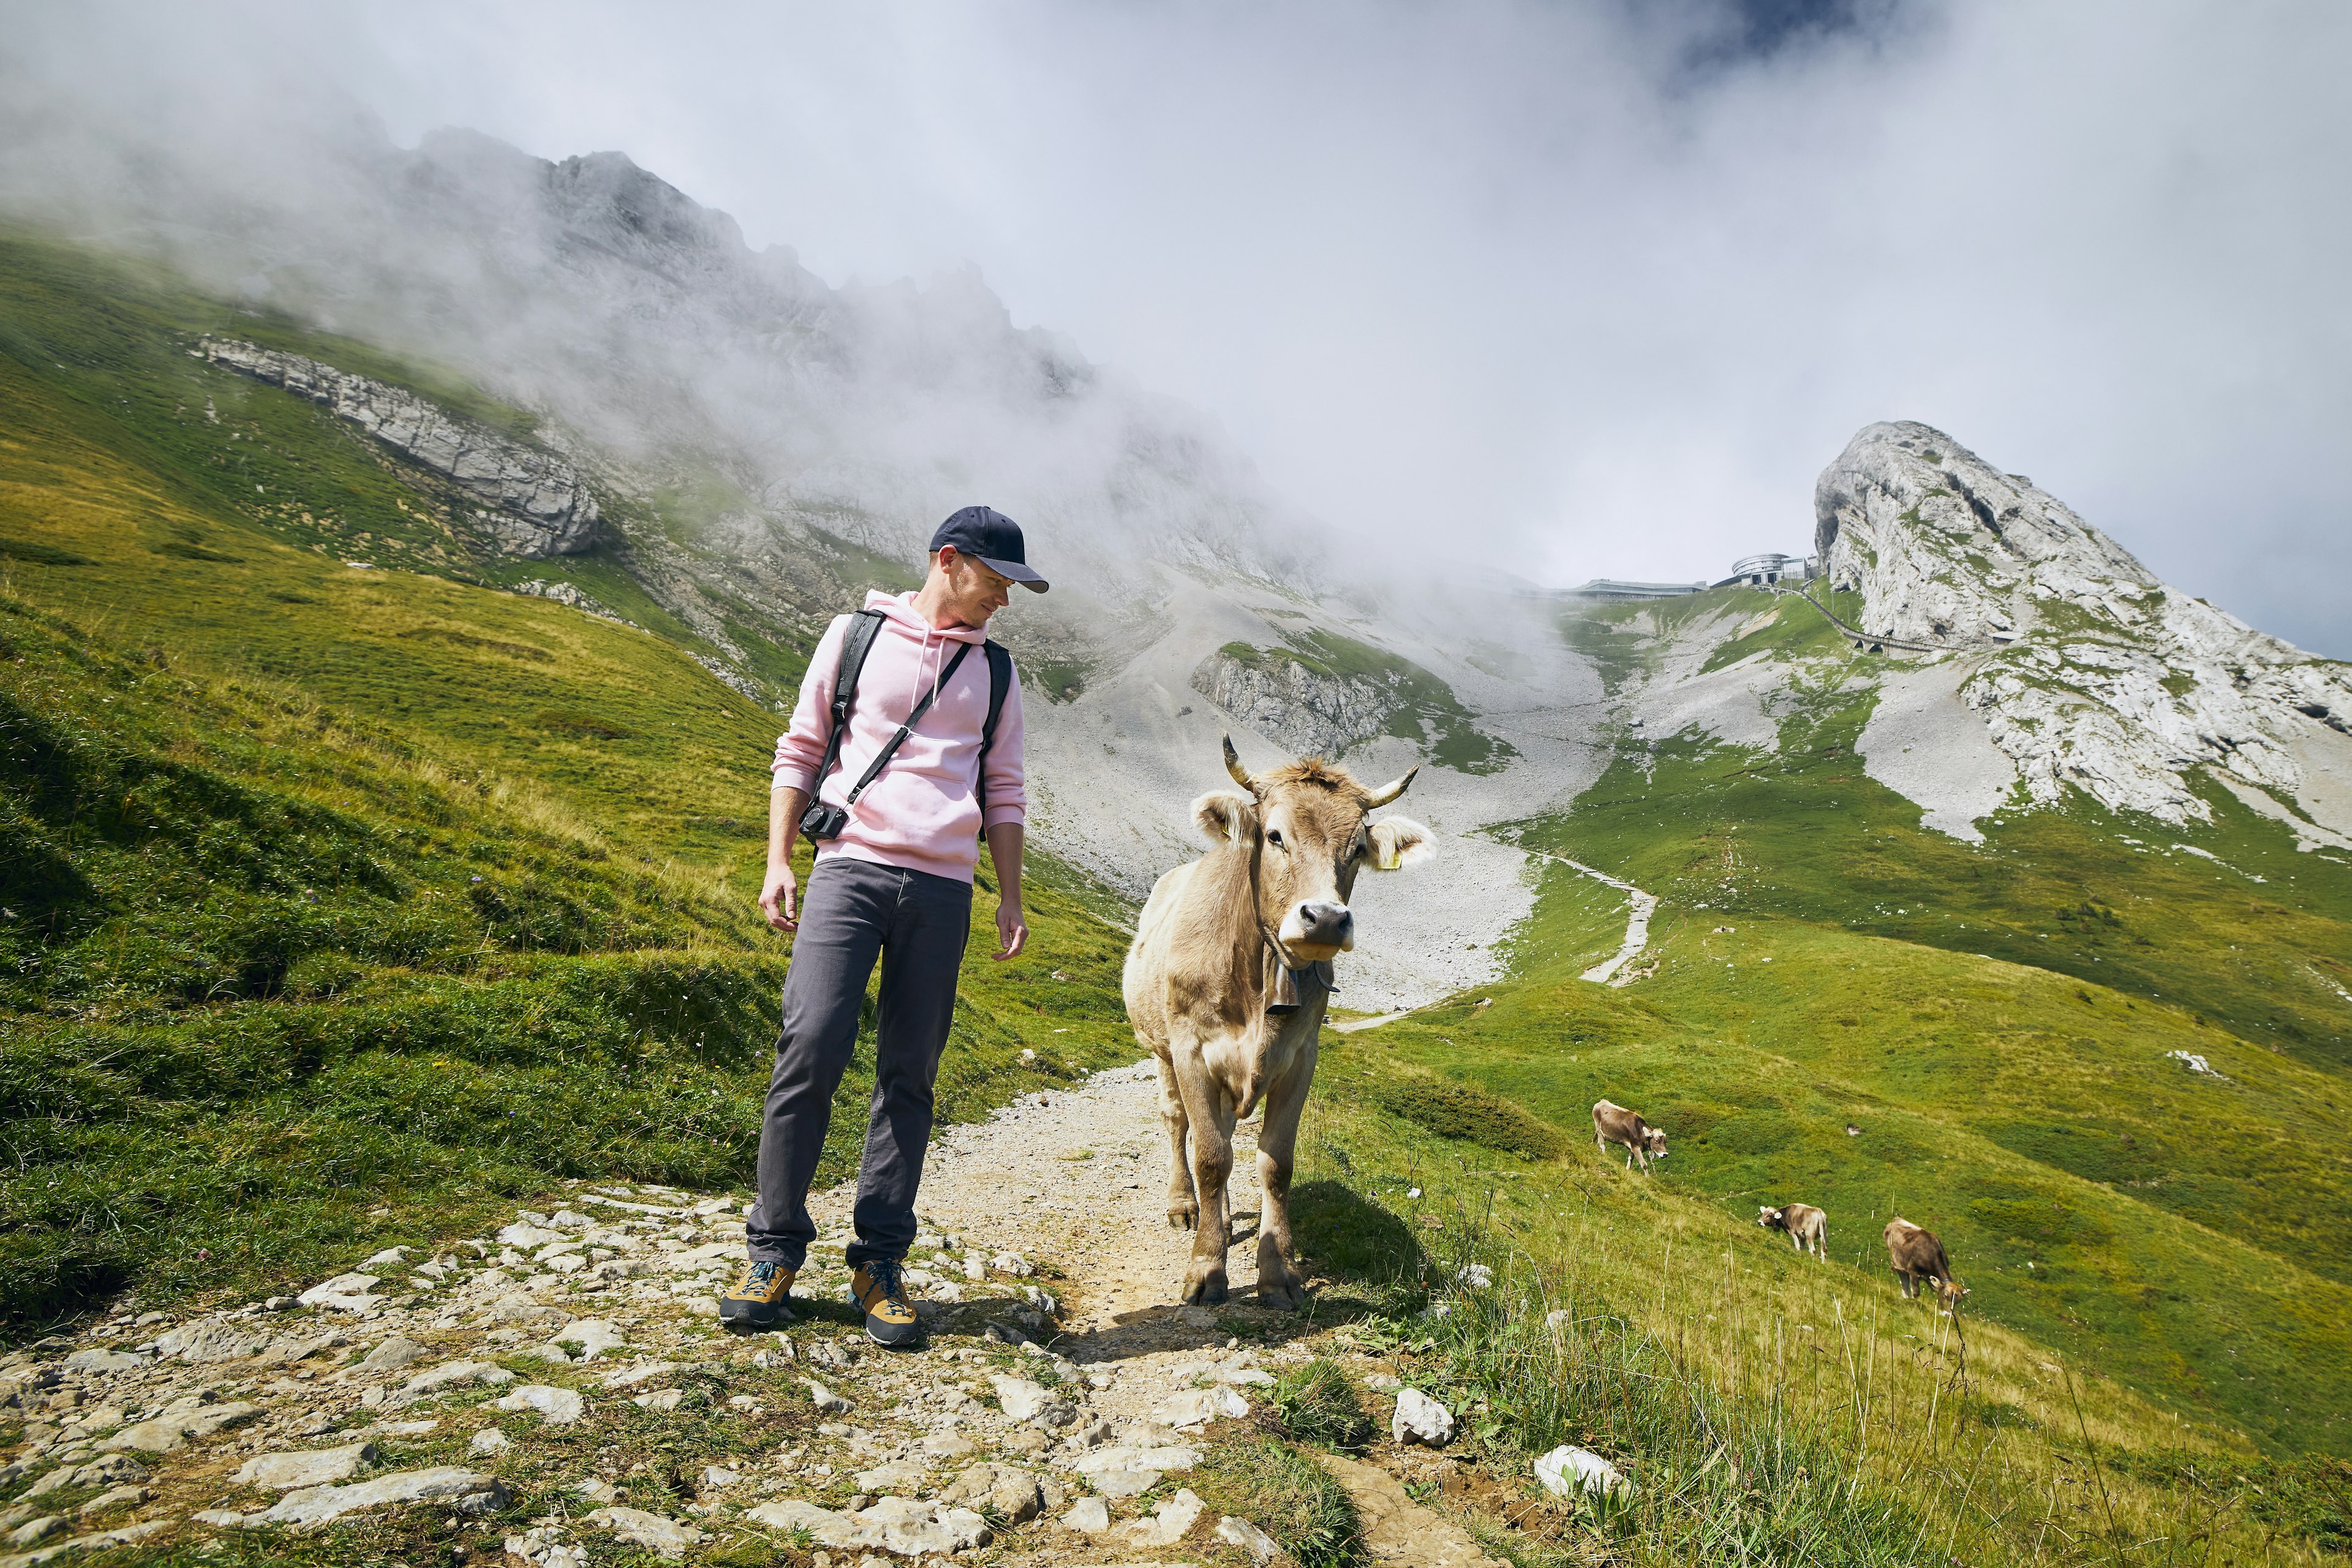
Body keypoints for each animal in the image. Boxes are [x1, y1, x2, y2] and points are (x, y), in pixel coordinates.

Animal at [1124, 742, 1430, 1306]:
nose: (1326, 919)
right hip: (1160, 1049)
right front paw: (1206, 1269)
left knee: (1222, 1133)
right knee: (1179, 1124)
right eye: (1274, 836)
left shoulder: (1301, 1057)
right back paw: (1185, 1206)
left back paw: (1221, 1219)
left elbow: (1275, 1164)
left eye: (1357, 848)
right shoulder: (1192, 1051)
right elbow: (1210, 1158)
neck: (1255, 972)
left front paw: (1278, 1272)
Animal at [1891, 1213, 1966, 1316]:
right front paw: (1913, 1304)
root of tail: (1897, 1219)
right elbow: (1916, 1292)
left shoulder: (1928, 1277)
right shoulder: (1913, 1270)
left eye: (1958, 1301)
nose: (1947, 1315)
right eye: (1945, 1295)